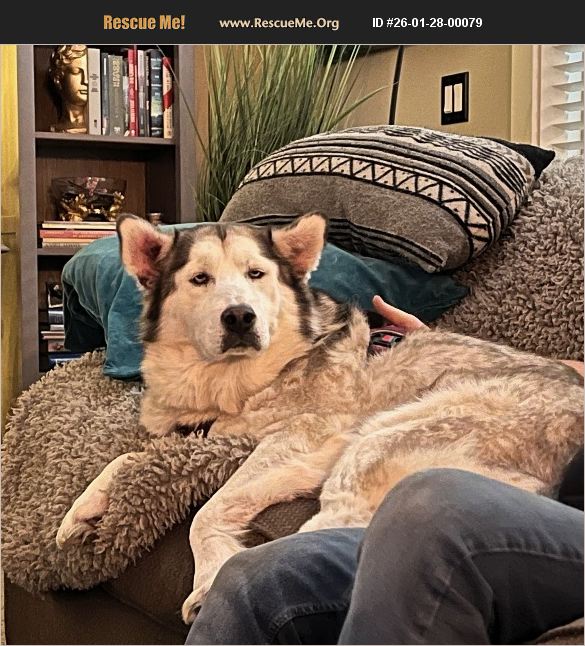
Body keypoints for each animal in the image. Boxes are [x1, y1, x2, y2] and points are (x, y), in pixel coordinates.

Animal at [56, 212, 584, 624]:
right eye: (200, 279)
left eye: (256, 274)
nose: (240, 317)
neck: (229, 386)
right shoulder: (217, 438)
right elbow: (126, 458)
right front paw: (80, 510)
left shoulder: (301, 440)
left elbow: (206, 512)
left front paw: (207, 572)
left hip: (376, 441)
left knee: (327, 534)